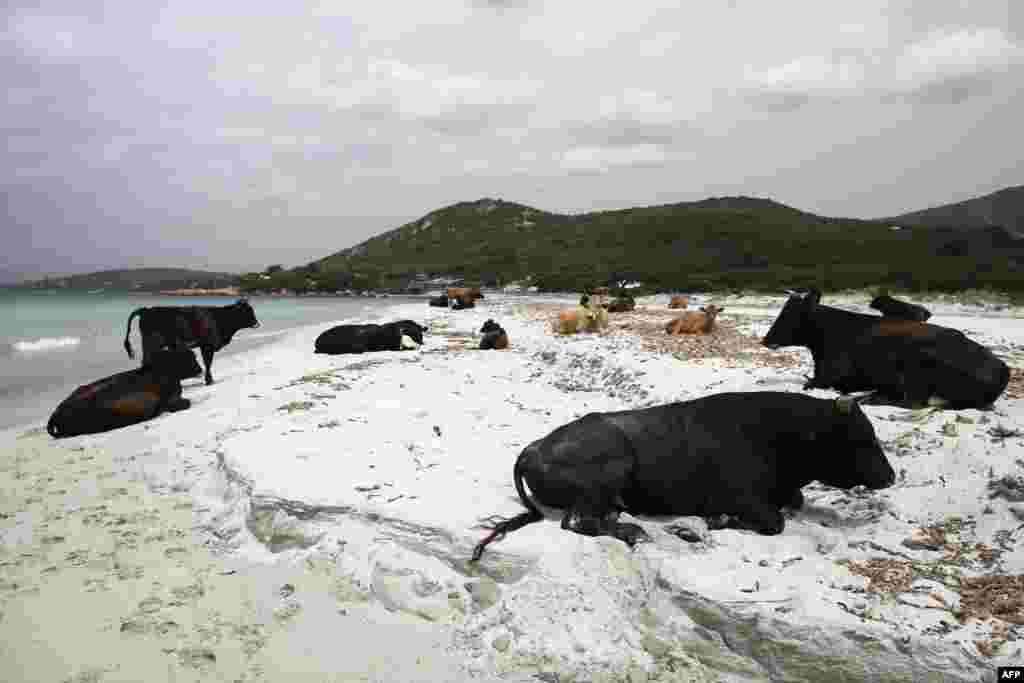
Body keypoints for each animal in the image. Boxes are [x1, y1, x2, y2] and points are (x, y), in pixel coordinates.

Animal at [123, 296, 260, 387]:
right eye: (247, 311)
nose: (257, 323)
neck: (220, 318)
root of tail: (146, 310)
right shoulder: (207, 345)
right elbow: (208, 363)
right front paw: (209, 381)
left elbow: (207, 363)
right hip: (151, 343)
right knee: (146, 361)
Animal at [473, 395, 897, 561]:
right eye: (861, 438)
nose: (890, 477)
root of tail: (536, 446)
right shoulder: (744, 498)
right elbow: (773, 520)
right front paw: (718, 521)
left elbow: (794, 502)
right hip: (608, 472)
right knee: (578, 521)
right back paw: (636, 532)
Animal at [761, 290, 1007, 409]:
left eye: (792, 314)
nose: (765, 340)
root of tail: (1001, 368)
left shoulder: (832, 376)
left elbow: (810, 383)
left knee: (911, 401)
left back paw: (868, 397)